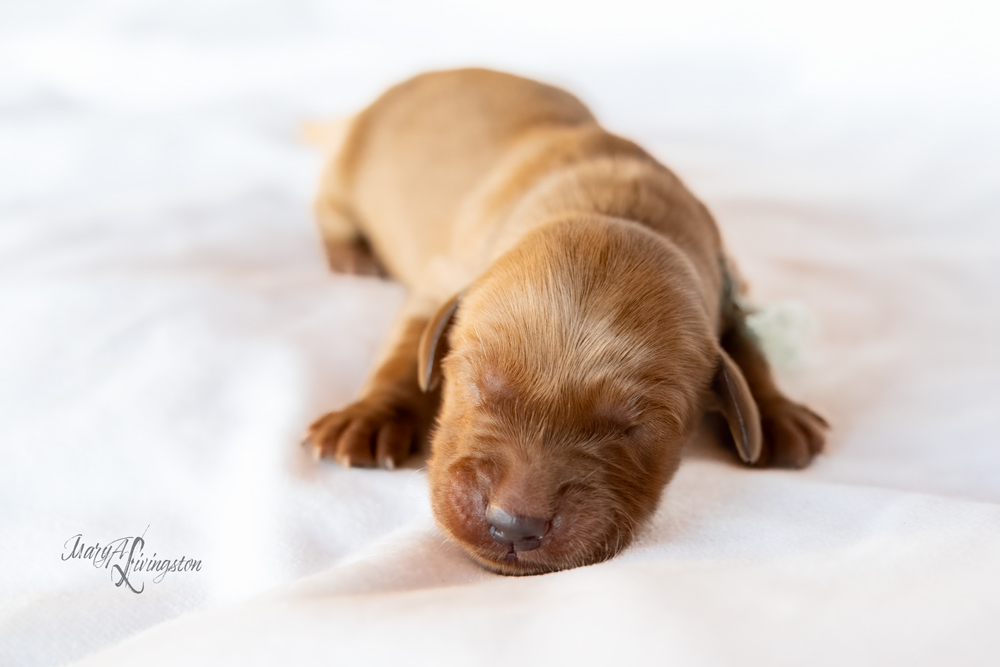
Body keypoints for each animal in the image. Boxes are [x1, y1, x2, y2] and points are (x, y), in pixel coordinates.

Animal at [302, 69, 828, 580]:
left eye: (634, 427)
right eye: (478, 385)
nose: (514, 525)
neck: (608, 206)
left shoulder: (727, 292)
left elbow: (749, 349)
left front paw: (778, 413)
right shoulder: (440, 284)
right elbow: (403, 358)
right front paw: (370, 416)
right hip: (343, 181)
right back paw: (353, 253)